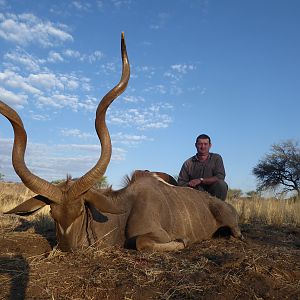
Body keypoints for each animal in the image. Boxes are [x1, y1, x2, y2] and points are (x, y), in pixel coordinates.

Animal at [0, 34, 243, 252]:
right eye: (52, 213)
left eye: (81, 211)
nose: (67, 249)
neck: (122, 210)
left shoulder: (155, 234)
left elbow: (142, 242)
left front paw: (183, 241)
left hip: (232, 224)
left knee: (236, 233)